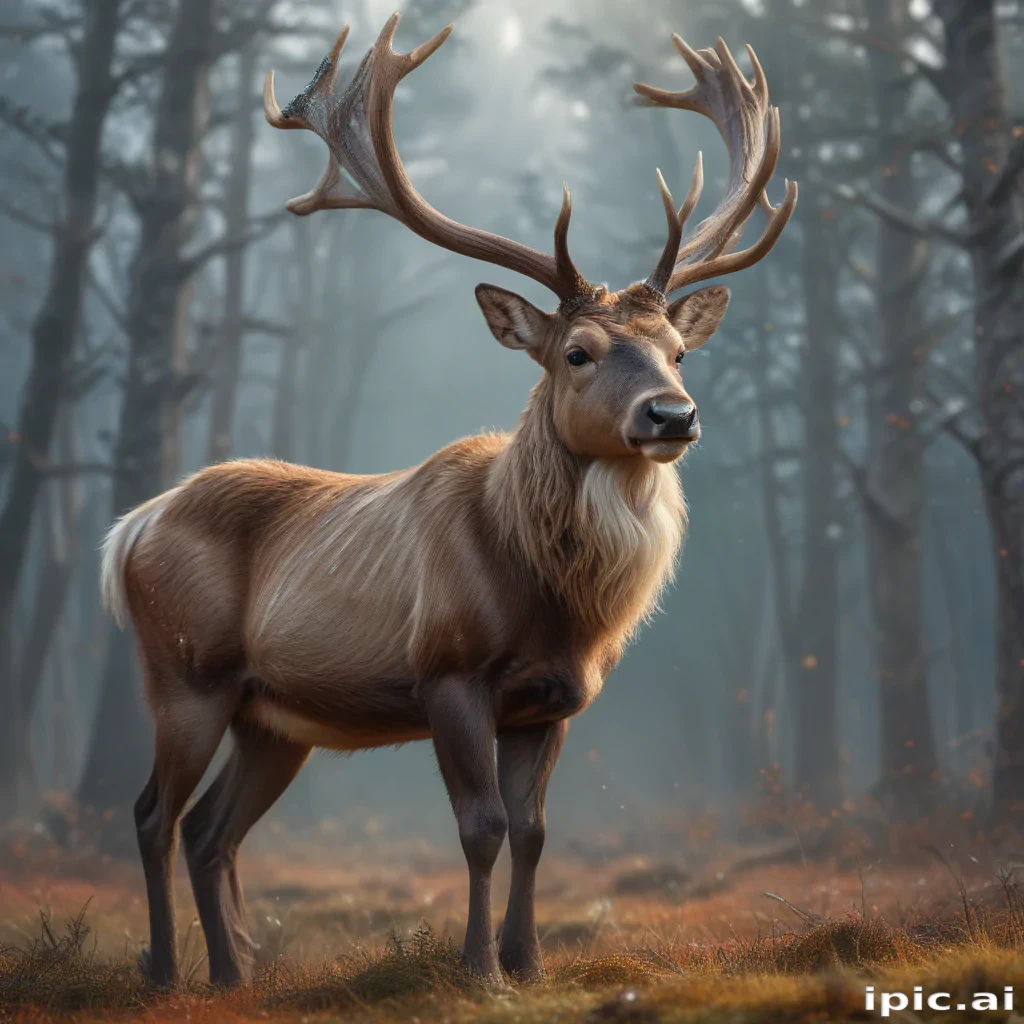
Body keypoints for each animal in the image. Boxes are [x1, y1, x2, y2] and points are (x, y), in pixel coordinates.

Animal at [101, 14, 796, 990]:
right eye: (577, 352)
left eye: (678, 351)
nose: (672, 414)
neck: (552, 601)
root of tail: (128, 530)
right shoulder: (448, 673)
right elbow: (481, 829)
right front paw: (478, 968)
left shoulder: (553, 701)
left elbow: (536, 833)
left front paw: (529, 961)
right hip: (182, 673)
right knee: (151, 813)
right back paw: (164, 971)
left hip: (270, 717)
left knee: (209, 830)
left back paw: (233, 975)